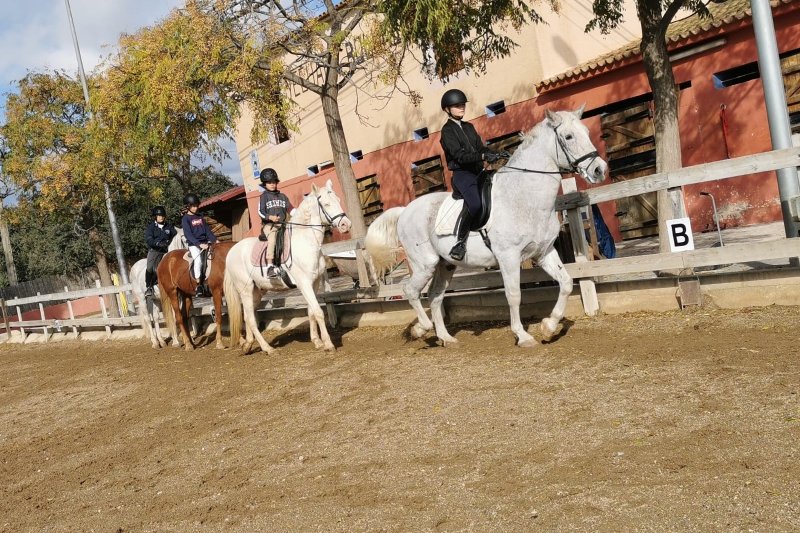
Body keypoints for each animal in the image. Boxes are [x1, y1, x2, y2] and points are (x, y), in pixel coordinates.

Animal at [224, 179, 352, 354]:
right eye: (326, 204)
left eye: (338, 200)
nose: (346, 225)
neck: (306, 241)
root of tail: (231, 252)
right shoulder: (304, 284)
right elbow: (318, 312)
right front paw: (328, 344)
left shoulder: (314, 283)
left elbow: (311, 311)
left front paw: (317, 341)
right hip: (246, 289)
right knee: (250, 318)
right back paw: (268, 349)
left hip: (257, 292)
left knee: (247, 316)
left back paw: (248, 345)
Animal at [365, 108, 608, 348]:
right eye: (569, 136)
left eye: (587, 132)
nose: (599, 170)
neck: (523, 196)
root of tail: (405, 210)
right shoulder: (509, 256)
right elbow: (514, 295)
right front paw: (523, 335)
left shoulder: (544, 252)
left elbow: (566, 283)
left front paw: (548, 327)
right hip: (425, 263)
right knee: (411, 290)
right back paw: (420, 329)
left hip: (445, 265)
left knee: (434, 296)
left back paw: (446, 338)